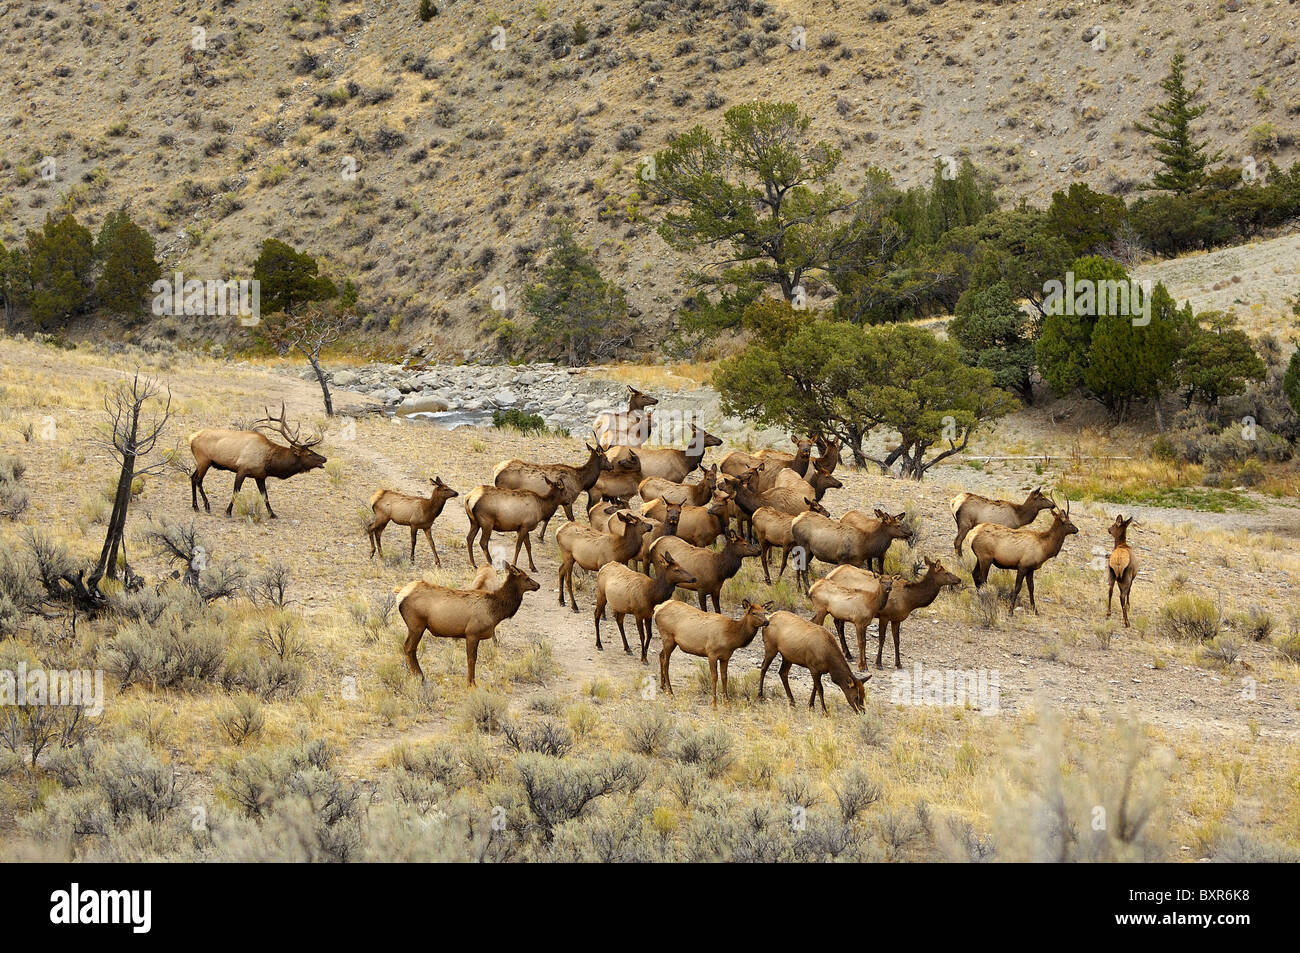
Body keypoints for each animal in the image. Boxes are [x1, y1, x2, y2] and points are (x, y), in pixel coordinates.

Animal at [189, 403, 326, 518]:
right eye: (309, 453)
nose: (324, 458)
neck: (269, 462)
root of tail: (191, 438)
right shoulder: (242, 469)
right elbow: (236, 491)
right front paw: (228, 512)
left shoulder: (260, 476)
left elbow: (265, 496)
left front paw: (273, 514)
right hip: (204, 460)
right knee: (198, 480)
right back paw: (206, 506)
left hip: (202, 462)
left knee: (192, 477)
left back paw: (195, 506)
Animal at [396, 564, 540, 685]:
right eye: (527, 578)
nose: (538, 585)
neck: (495, 612)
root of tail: (400, 595)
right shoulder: (472, 633)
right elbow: (471, 659)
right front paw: (471, 683)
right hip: (416, 625)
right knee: (409, 647)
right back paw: (419, 676)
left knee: (409, 647)